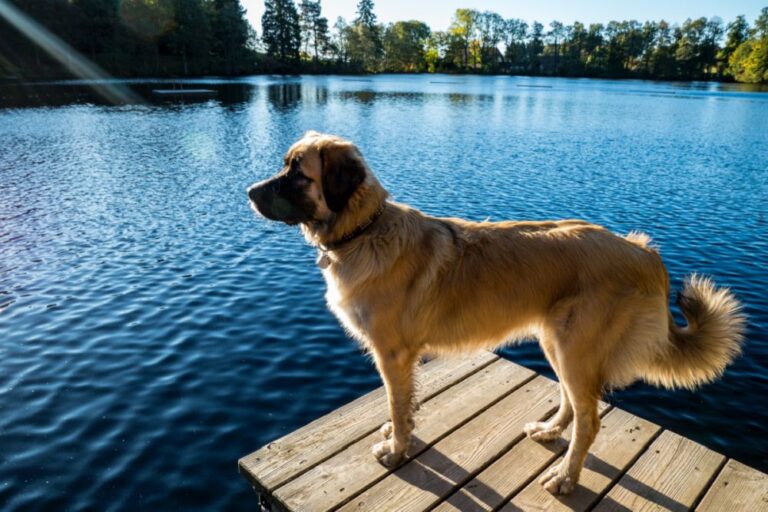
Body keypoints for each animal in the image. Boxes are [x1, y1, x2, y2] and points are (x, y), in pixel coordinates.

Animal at [249, 132, 748, 496]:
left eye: (297, 173)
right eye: (284, 165)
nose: (248, 192)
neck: (365, 230)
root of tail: (644, 252)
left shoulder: (392, 354)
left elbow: (396, 401)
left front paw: (397, 450)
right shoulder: (402, 360)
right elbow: (403, 405)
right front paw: (397, 432)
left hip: (575, 349)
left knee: (590, 420)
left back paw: (566, 478)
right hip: (558, 343)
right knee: (573, 403)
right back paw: (548, 432)